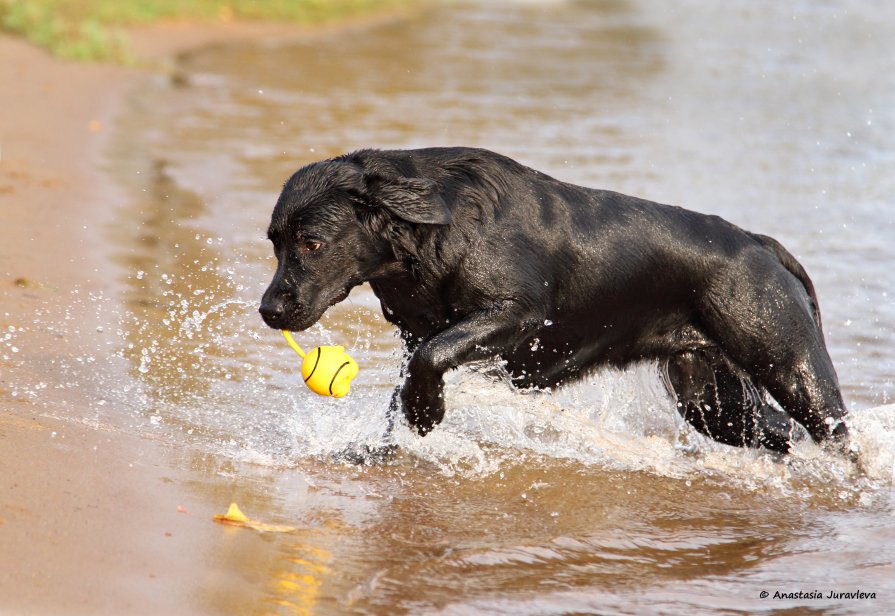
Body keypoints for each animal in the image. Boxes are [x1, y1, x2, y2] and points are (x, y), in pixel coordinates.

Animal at [262, 149, 852, 454]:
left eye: (311, 243)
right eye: (274, 243)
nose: (269, 310)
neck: (437, 232)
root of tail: (759, 243)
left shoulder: (516, 314)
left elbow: (432, 360)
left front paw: (426, 415)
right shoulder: (417, 335)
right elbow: (407, 382)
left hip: (791, 365)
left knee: (837, 433)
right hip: (711, 399)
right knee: (780, 433)